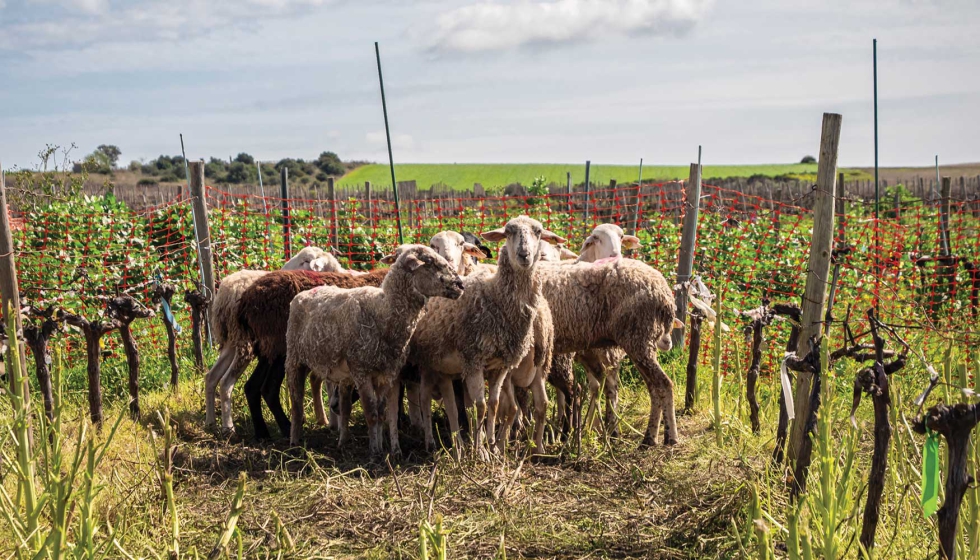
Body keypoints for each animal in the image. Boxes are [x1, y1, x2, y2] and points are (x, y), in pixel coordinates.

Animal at [204, 246, 340, 430]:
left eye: (306, 261)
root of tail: (224, 292)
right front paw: (331, 422)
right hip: (246, 343)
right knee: (226, 383)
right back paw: (229, 427)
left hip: (232, 341)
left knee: (211, 377)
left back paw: (210, 422)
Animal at [286, 245, 465, 458]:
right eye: (430, 262)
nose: (461, 285)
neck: (383, 310)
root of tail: (306, 293)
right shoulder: (362, 371)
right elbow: (371, 412)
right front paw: (374, 452)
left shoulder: (385, 373)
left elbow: (380, 412)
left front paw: (380, 447)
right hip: (294, 359)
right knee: (296, 402)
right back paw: (295, 442)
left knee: (341, 405)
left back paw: (342, 441)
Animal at [409, 216, 565, 457]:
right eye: (508, 232)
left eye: (538, 232)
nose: (524, 255)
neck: (495, 296)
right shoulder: (473, 361)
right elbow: (479, 406)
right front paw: (480, 450)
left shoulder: (500, 366)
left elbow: (493, 403)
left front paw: (492, 446)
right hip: (430, 362)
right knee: (425, 399)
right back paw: (431, 442)